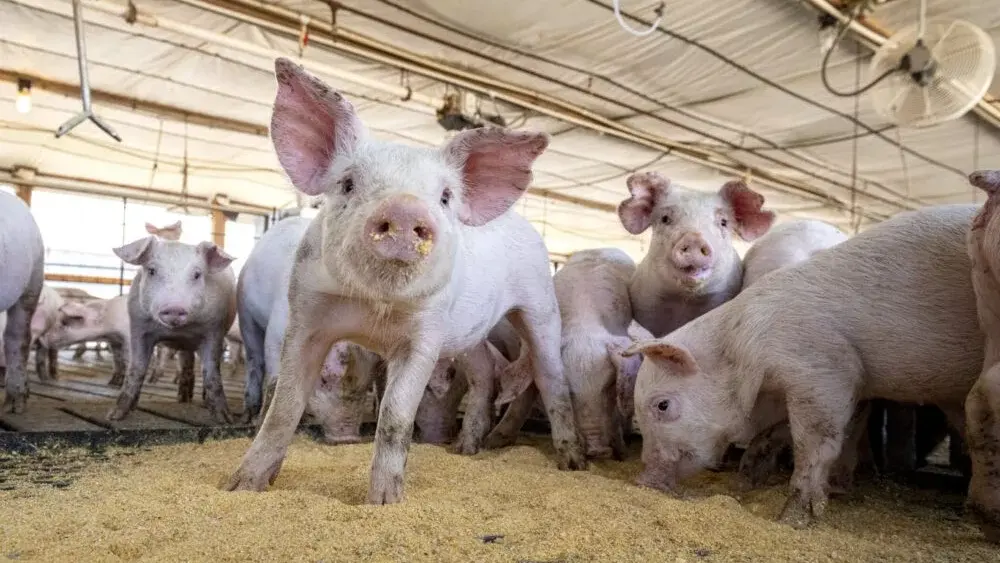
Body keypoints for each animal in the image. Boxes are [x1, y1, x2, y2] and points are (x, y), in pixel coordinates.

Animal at [107, 236, 237, 422]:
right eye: (152, 270)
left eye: (197, 274)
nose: (175, 307)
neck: (178, 332)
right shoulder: (138, 327)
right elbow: (136, 369)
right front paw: (114, 415)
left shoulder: (214, 331)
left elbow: (211, 372)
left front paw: (225, 419)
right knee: (186, 363)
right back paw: (182, 399)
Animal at [225, 59, 585, 504]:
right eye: (348, 183)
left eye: (445, 196)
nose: (404, 208)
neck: (375, 309)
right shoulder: (304, 314)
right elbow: (284, 405)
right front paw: (240, 487)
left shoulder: (426, 333)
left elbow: (395, 415)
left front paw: (384, 504)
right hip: (469, 331)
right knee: (485, 371)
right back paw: (468, 448)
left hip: (539, 303)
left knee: (551, 377)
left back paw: (572, 463)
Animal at [624, 204, 982, 530]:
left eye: (662, 405)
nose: (642, 481)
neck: (745, 353)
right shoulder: (850, 386)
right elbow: (797, 433)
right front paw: (749, 481)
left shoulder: (824, 371)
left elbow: (815, 442)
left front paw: (792, 518)